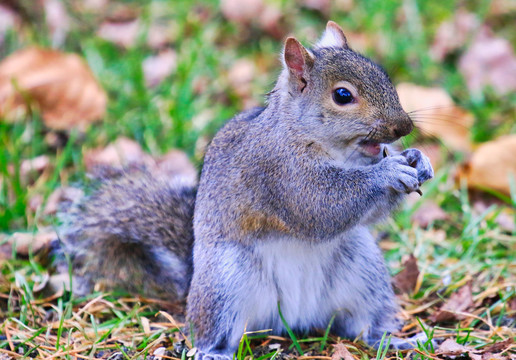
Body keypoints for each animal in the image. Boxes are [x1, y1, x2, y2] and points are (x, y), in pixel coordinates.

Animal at [60, 21, 436, 360]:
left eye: (384, 75)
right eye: (342, 95)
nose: (404, 127)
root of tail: (292, 320)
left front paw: (418, 159)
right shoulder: (276, 173)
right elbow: (319, 208)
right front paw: (388, 172)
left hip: (363, 270)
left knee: (363, 324)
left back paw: (394, 340)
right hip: (224, 282)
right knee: (213, 329)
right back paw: (212, 352)